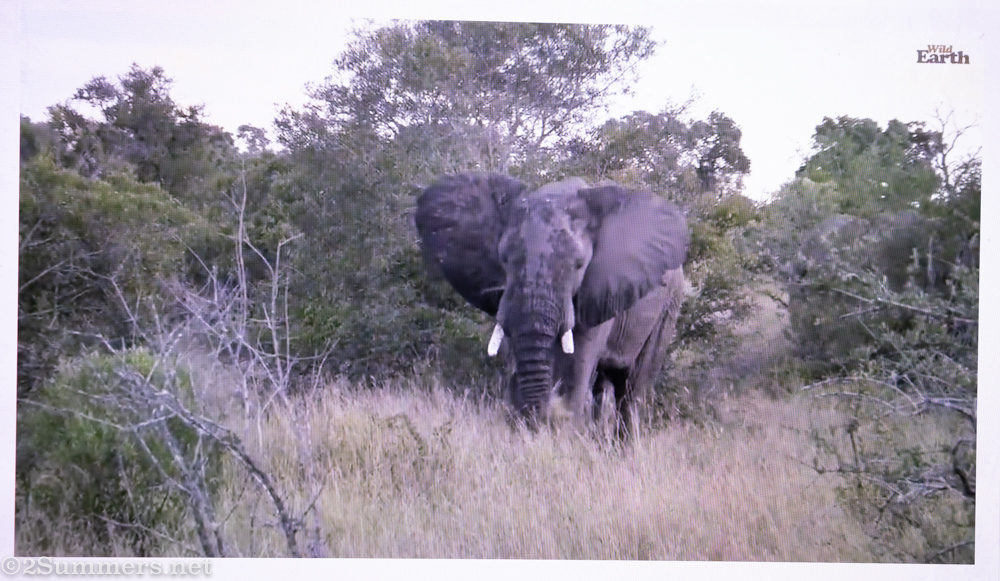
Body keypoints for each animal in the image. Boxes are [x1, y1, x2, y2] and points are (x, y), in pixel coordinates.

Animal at [415, 172, 688, 439]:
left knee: (631, 389)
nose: (543, 416)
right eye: (504, 259)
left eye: (579, 265)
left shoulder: (599, 287)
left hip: (669, 306)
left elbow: (579, 363)